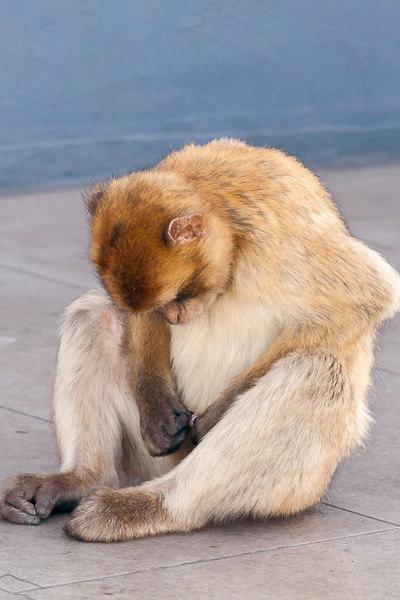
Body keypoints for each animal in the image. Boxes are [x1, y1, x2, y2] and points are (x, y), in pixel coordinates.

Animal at [0, 138, 400, 540]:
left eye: (180, 298)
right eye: (164, 306)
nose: (173, 316)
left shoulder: (281, 239)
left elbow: (368, 298)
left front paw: (218, 413)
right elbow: (128, 315)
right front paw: (157, 409)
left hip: (298, 486)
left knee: (315, 370)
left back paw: (155, 507)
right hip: (155, 463)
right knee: (92, 316)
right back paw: (84, 478)